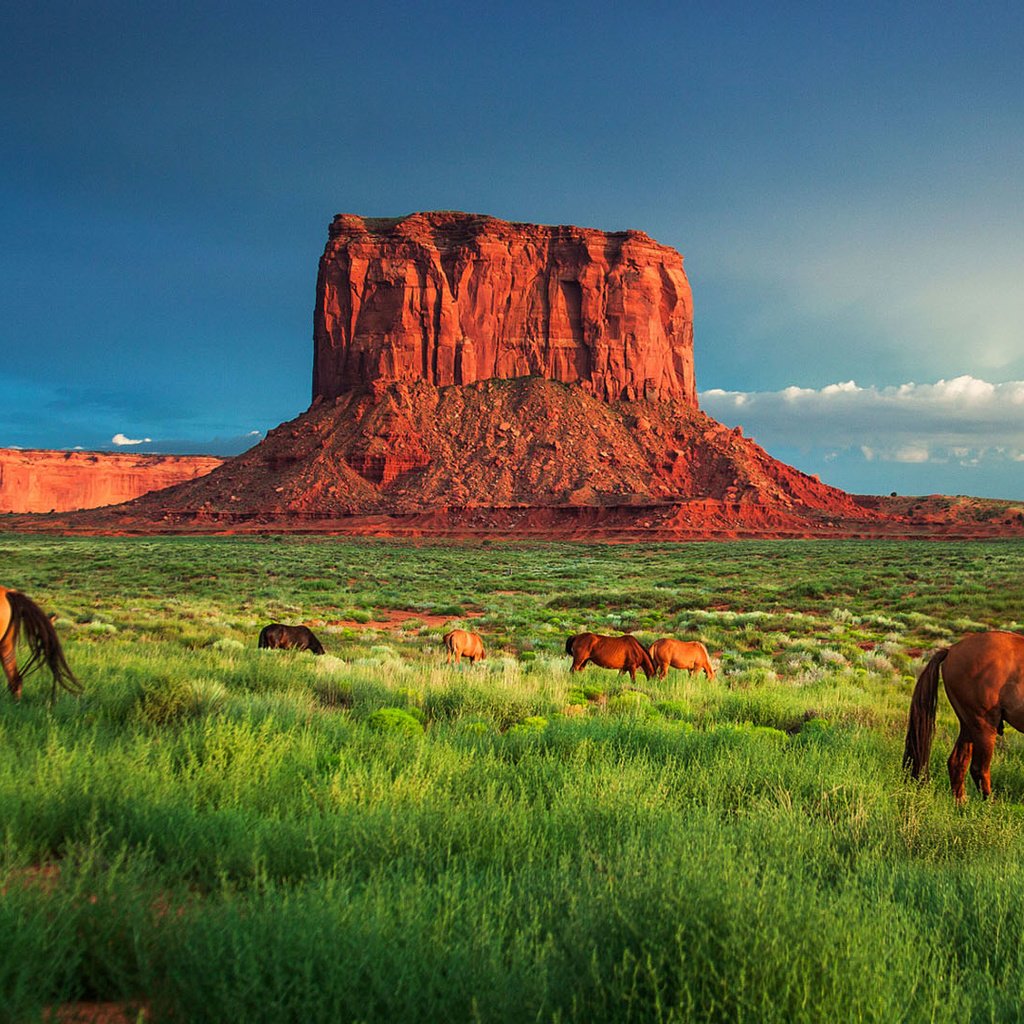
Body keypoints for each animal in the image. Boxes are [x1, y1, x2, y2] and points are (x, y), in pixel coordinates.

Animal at [905, 626, 1024, 802]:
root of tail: (952, 650)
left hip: (968, 725)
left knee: (957, 762)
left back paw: (961, 803)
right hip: (984, 726)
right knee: (979, 769)